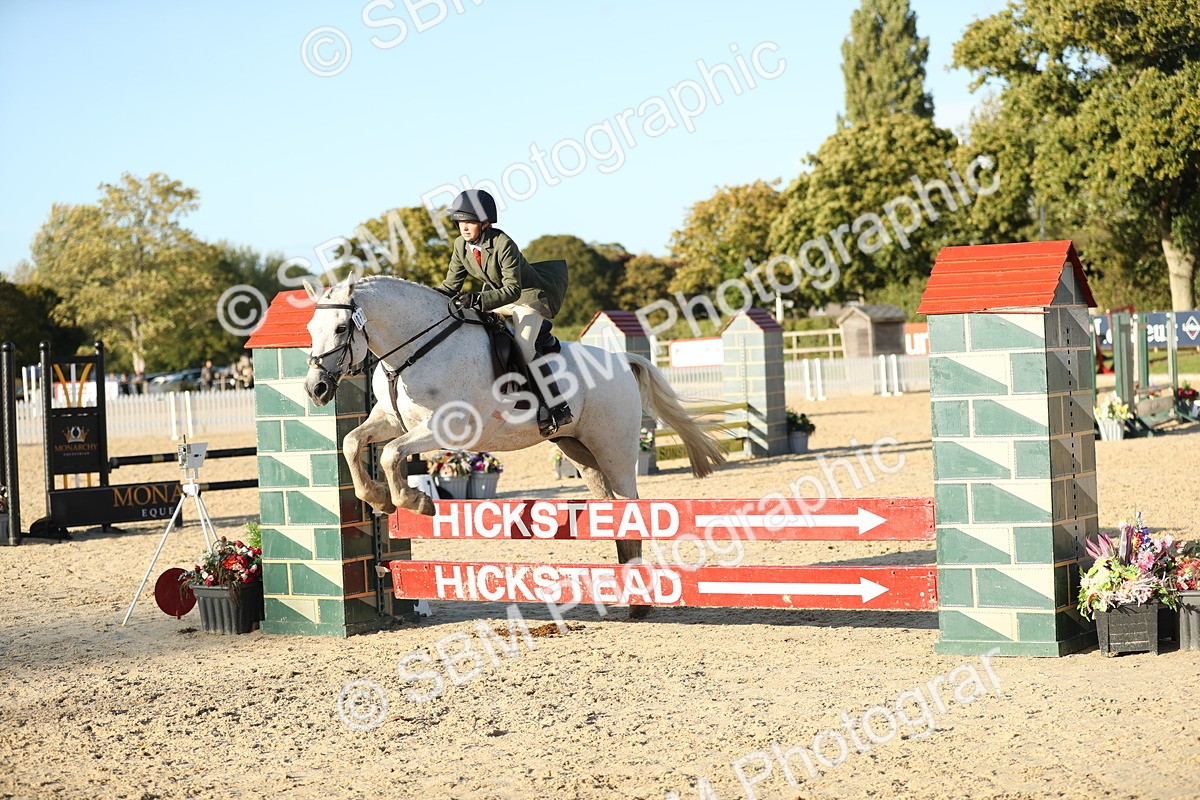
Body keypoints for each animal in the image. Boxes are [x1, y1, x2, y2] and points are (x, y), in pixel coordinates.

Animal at [301, 273, 725, 583]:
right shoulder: (390, 421)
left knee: (630, 504)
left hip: (615, 450)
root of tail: (622, 361)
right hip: (579, 450)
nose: (316, 389)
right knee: (609, 504)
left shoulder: (447, 428)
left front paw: (414, 501)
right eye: (309, 328)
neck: (414, 351)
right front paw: (377, 498)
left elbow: (389, 454)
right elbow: (353, 443)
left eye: (341, 329)